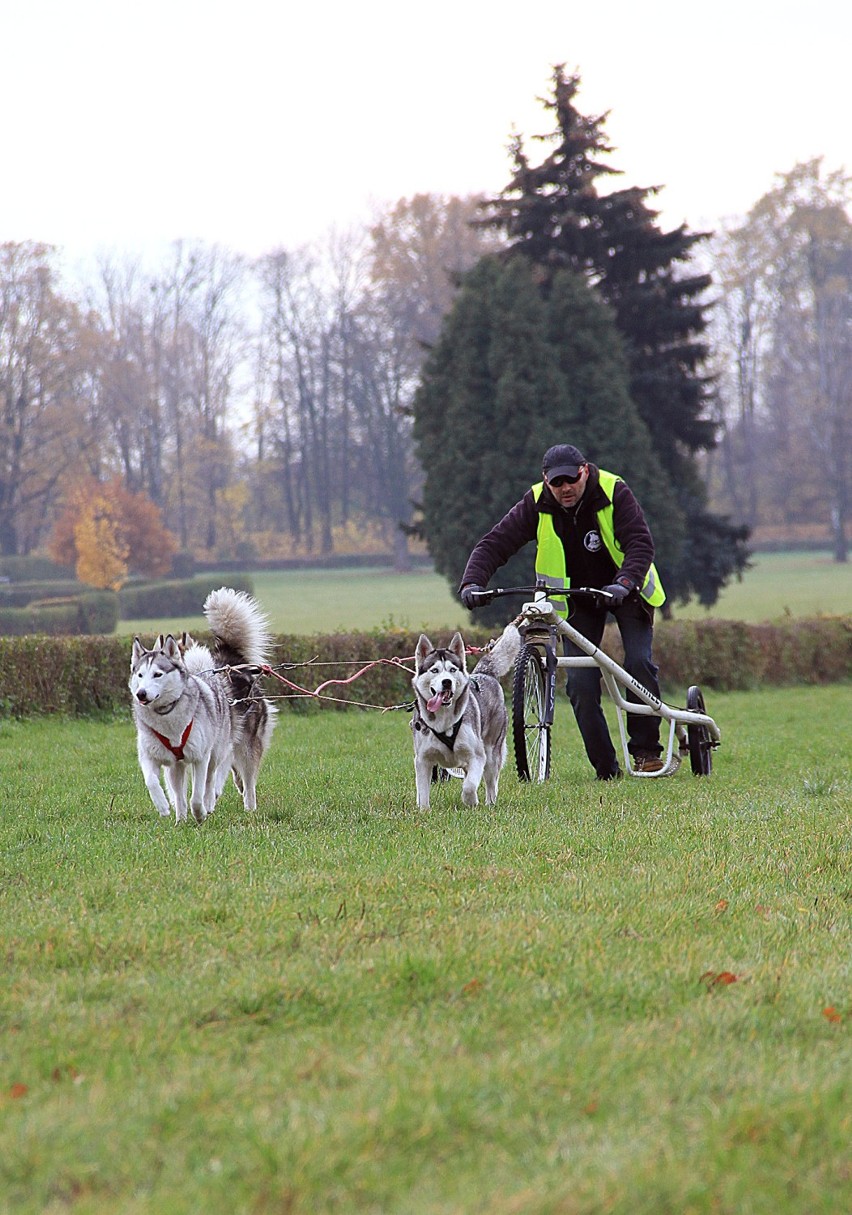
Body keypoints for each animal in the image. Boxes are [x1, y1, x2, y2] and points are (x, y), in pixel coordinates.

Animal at [129, 585, 275, 821]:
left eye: (158, 674)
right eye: (140, 675)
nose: (141, 694)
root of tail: (232, 662)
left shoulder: (207, 754)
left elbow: (203, 787)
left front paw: (202, 807)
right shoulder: (157, 757)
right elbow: (159, 783)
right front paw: (169, 808)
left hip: (243, 745)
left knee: (242, 778)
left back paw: (247, 806)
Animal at [405, 622, 517, 811]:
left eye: (452, 669)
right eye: (434, 670)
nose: (447, 682)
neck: (444, 721)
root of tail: (484, 673)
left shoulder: (477, 756)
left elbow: (469, 786)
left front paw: (471, 801)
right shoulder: (422, 759)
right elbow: (423, 791)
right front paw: (424, 811)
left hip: (491, 752)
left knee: (491, 782)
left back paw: (490, 803)